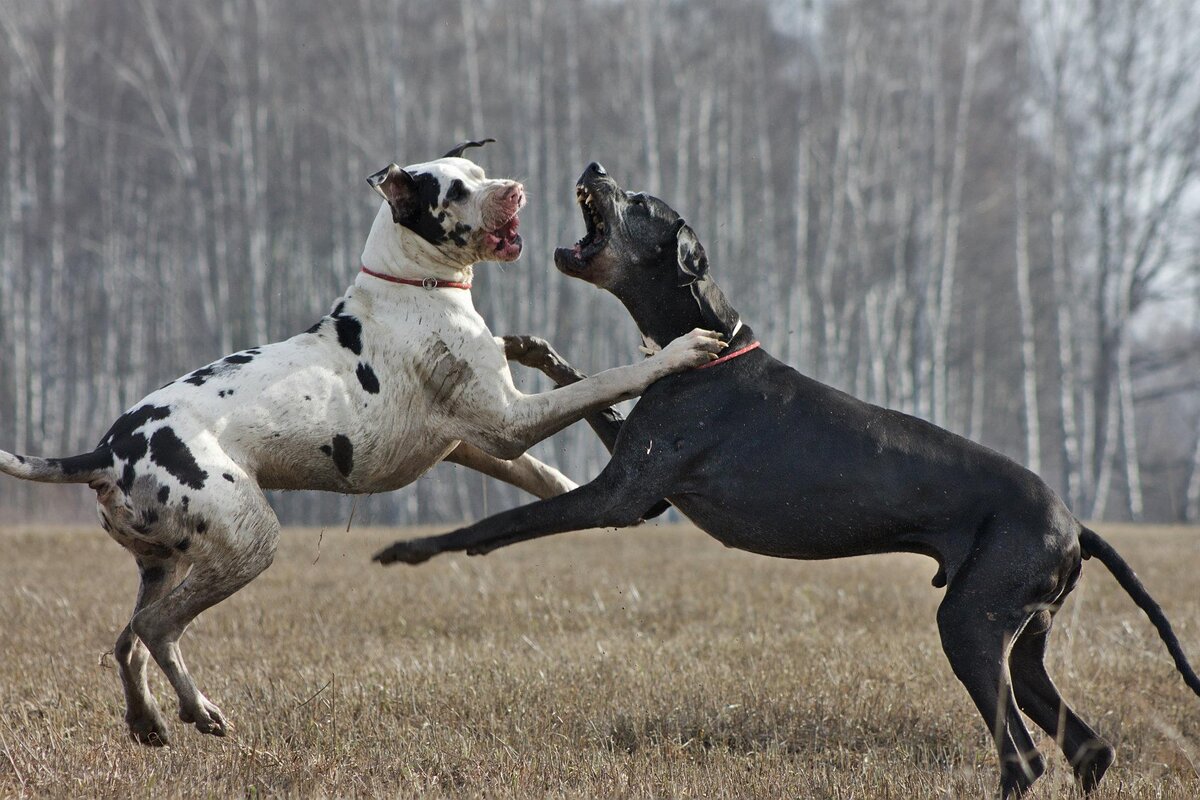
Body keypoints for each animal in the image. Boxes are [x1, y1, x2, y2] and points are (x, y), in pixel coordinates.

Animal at [0, 142, 720, 743]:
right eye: (456, 190)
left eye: (481, 172)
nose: (514, 190)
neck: (414, 289)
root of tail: (106, 453)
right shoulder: (511, 423)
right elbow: (606, 381)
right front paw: (679, 351)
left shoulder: (475, 444)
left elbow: (547, 478)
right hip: (246, 542)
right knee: (156, 630)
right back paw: (197, 709)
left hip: (165, 561)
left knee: (125, 641)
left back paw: (147, 719)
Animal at [379, 160, 1200, 796]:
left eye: (640, 202)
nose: (596, 167)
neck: (712, 341)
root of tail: (1077, 524)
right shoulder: (642, 473)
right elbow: (588, 386)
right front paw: (532, 347)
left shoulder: (622, 496)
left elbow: (506, 520)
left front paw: (418, 549)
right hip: (1022, 639)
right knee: (1087, 745)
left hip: (971, 624)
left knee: (1023, 758)